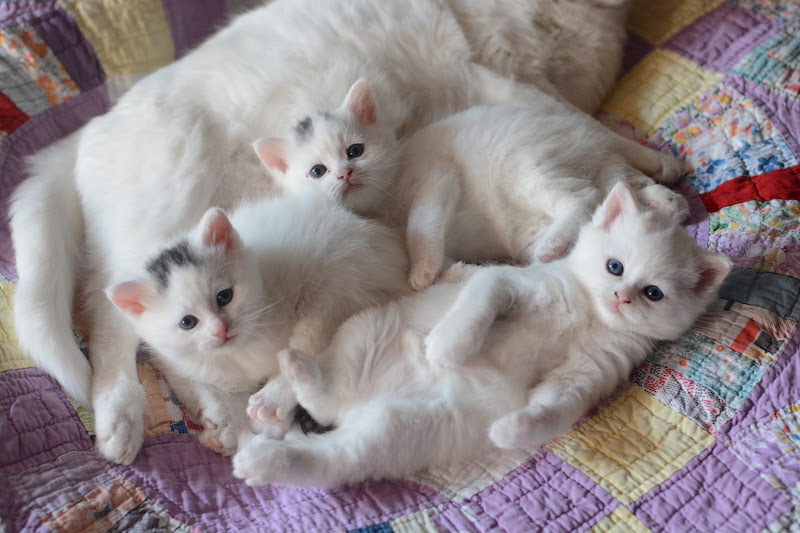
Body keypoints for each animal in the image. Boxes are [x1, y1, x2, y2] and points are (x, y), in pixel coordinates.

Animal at [107, 193, 409, 455]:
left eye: (224, 296)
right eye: (187, 322)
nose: (220, 329)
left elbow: (304, 351)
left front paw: (266, 421)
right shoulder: (174, 361)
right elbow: (202, 388)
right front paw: (227, 425)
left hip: (345, 280)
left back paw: (272, 400)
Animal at [232, 182, 732, 488]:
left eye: (653, 293)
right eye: (615, 266)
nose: (621, 298)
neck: (587, 315)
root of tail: (361, 404)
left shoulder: (591, 371)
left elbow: (556, 407)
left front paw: (512, 430)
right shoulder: (508, 281)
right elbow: (480, 303)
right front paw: (446, 348)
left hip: (399, 431)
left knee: (336, 448)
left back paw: (267, 456)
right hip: (367, 329)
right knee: (329, 395)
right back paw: (295, 375)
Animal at [254, 81, 690, 291]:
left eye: (355, 150)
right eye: (317, 171)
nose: (344, 174)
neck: (385, 206)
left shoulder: (437, 175)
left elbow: (422, 225)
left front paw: (422, 268)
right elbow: (444, 269)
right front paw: (457, 274)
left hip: (522, 164)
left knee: (587, 194)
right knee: (617, 185)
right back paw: (663, 199)